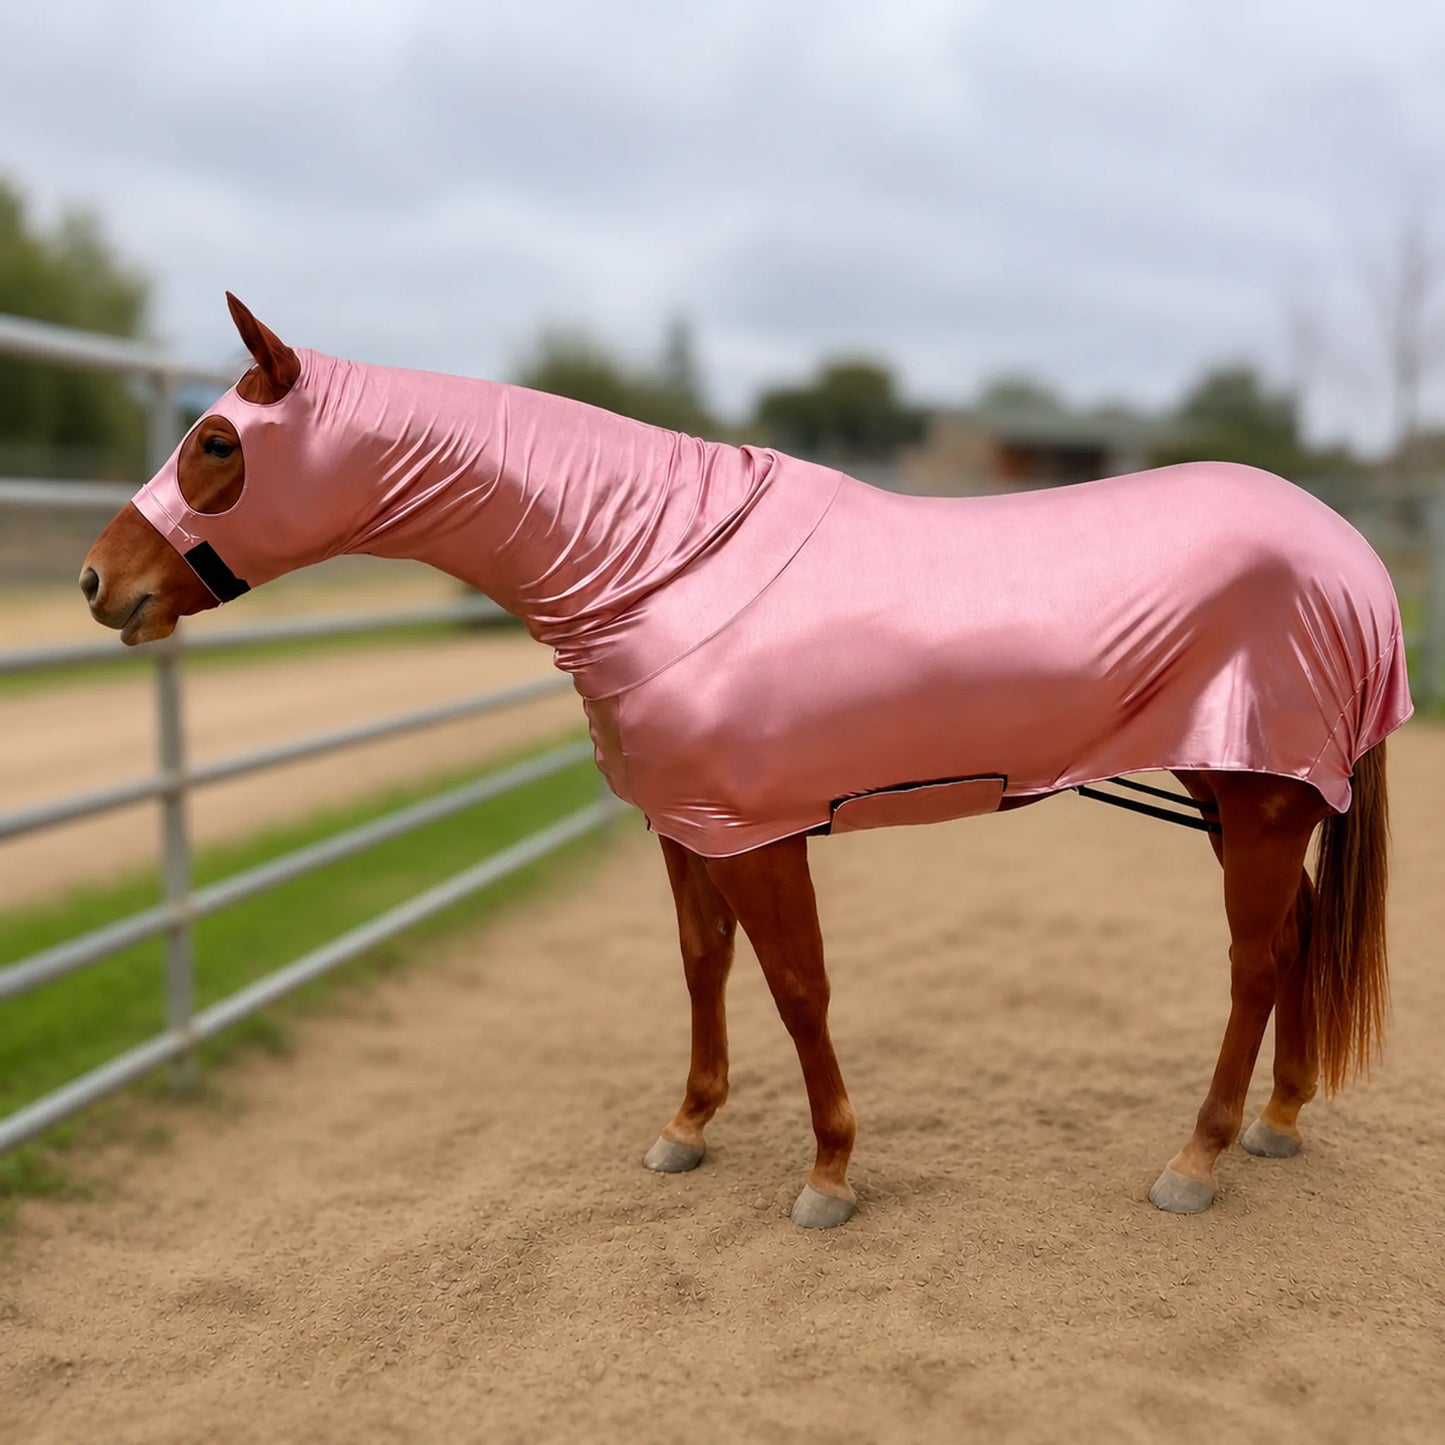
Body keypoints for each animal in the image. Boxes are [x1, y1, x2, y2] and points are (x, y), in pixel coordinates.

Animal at [81, 294, 1412, 1228]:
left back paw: (1194, 1158)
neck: (655, 563)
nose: (101, 584)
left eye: (215, 442)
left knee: (1254, 961)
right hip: (1238, 795)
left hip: (1256, 797)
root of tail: (1346, 555)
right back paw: (1276, 1120)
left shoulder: (761, 833)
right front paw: (686, 1126)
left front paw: (827, 1173)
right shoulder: (690, 825)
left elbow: (796, 987)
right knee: (1295, 935)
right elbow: (701, 966)